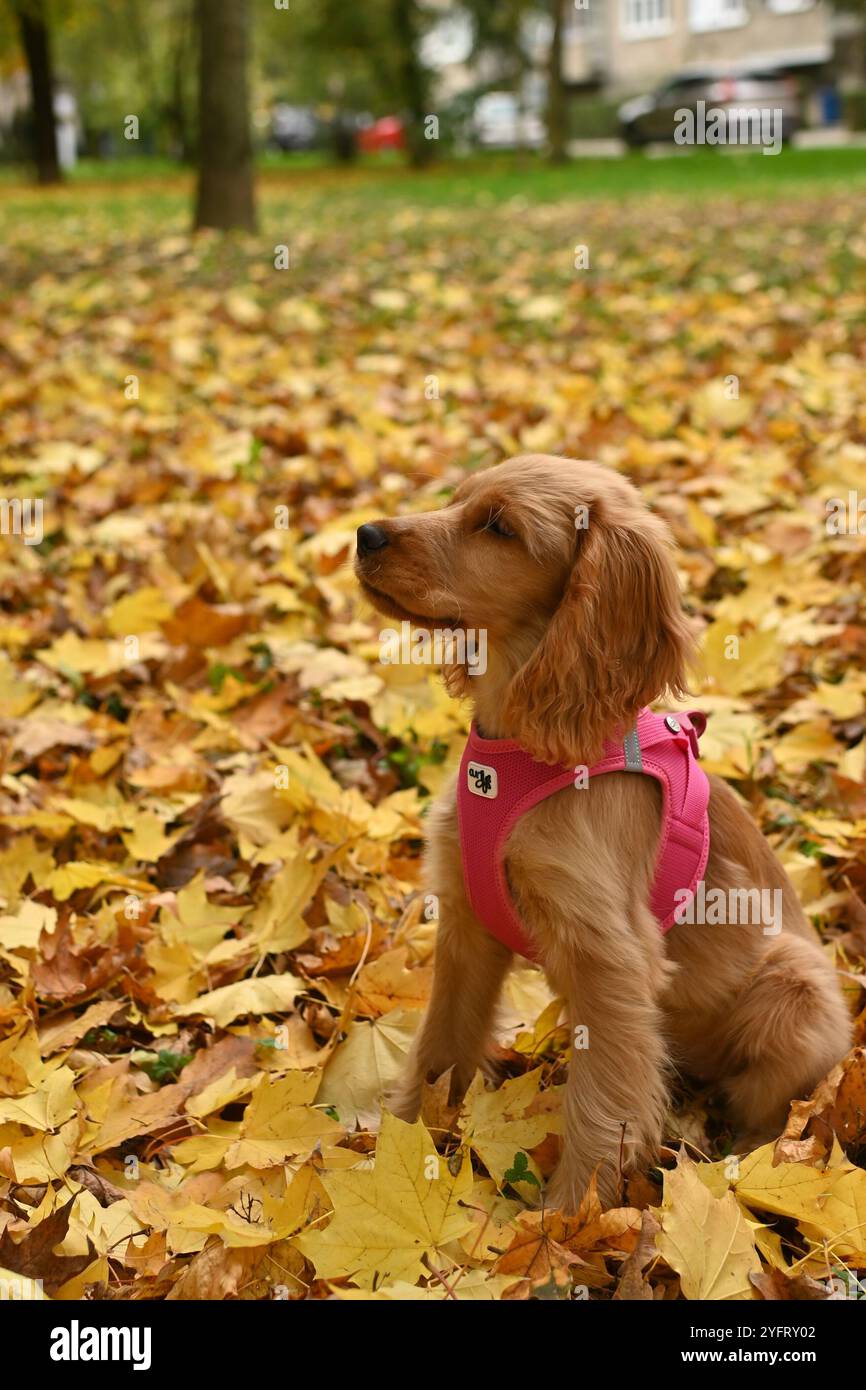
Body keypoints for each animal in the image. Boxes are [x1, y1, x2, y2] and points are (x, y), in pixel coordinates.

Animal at [354, 455, 856, 1206]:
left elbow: (600, 1109)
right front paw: (392, 1151)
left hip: (798, 986)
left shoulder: (611, 961)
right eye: (456, 500)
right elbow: (439, 1042)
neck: (523, 751)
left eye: (498, 527)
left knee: (775, 1112)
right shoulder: (466, 925)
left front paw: (567, 1219)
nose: (365, 535)